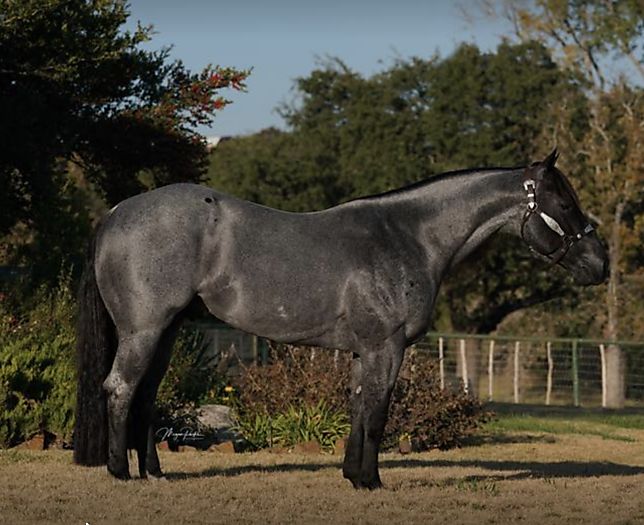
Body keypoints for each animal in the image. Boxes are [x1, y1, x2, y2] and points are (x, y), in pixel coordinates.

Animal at [73, 149, 607, 489]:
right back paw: (120, 472)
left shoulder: (361, 350)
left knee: (145, 395)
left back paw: (153, 472)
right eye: (564, 203)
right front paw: (370, 481)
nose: (600, 264)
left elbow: (357, 407)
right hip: (144, 331)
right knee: (120, 388)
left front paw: (352, 474)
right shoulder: (385, 347)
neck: (409, 236)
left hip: (166, 332)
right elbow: (377, 412)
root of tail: (114, 214)